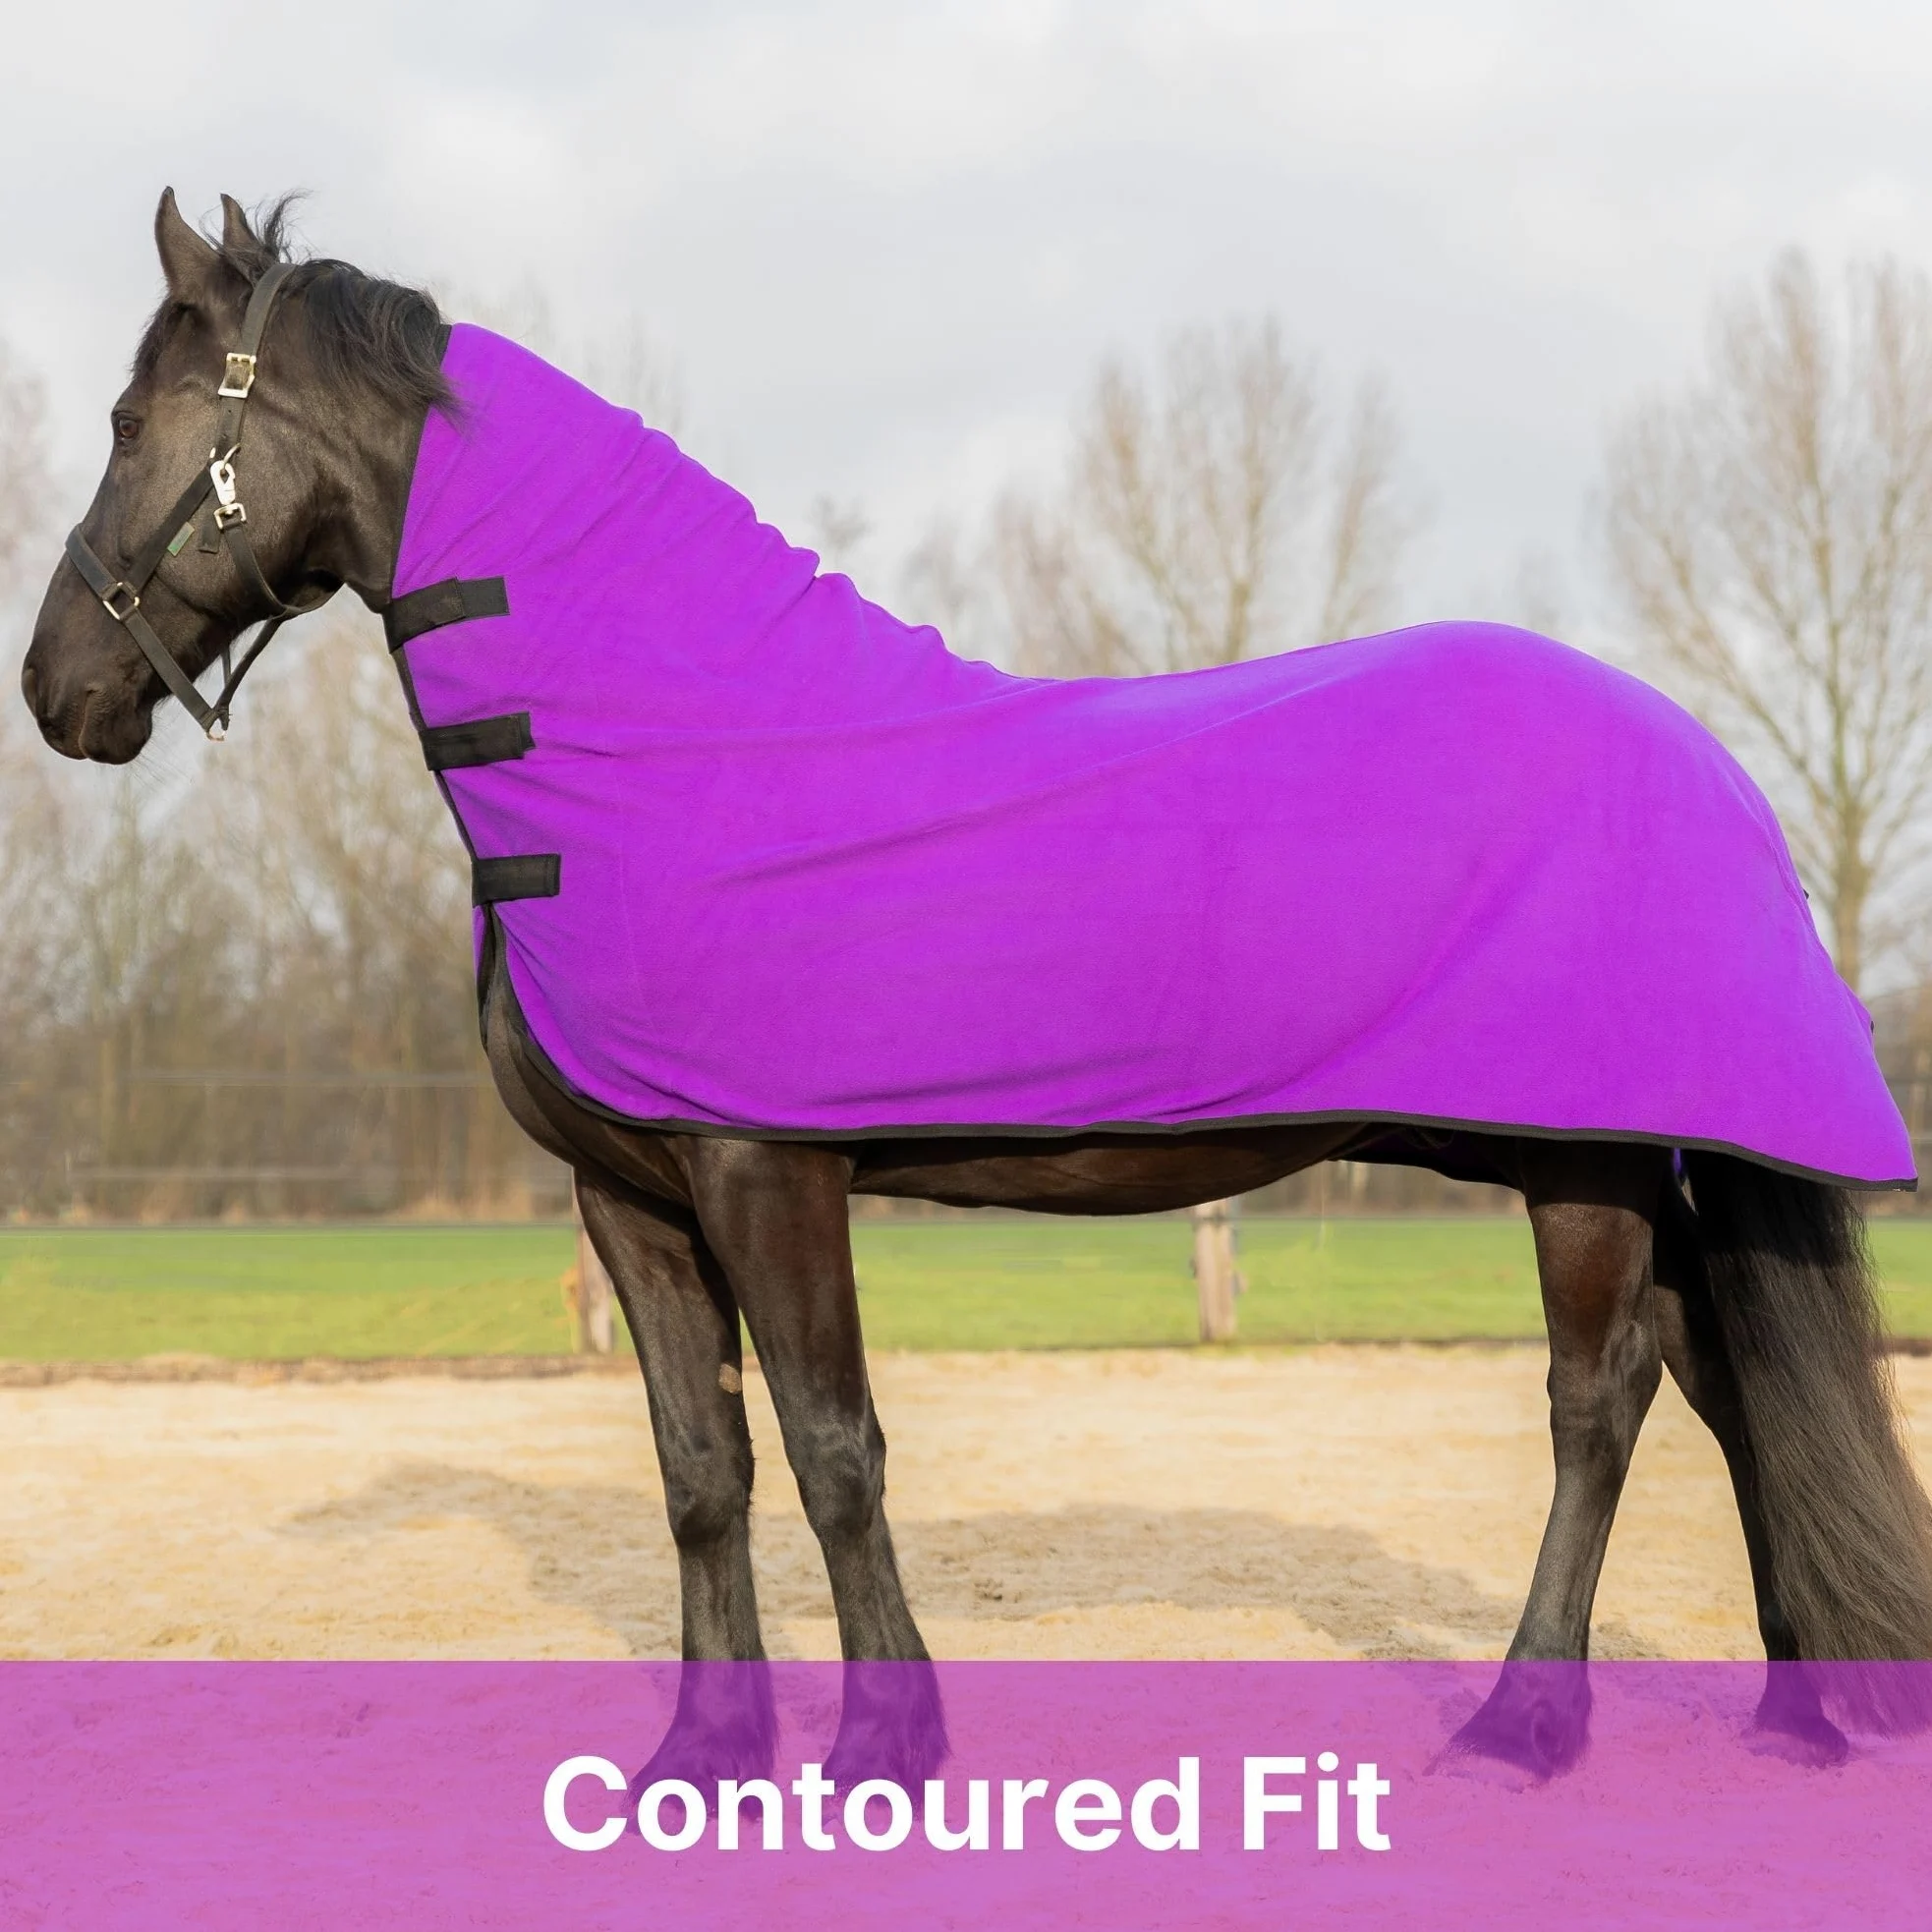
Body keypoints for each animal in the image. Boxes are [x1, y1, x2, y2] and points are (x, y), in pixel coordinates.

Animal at [22, 190, 1932, 1788]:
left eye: (129, 425)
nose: (55, 689)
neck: (663, 744)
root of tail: (1712, 764)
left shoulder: (765, 1171)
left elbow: (831, 1448)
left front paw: (883, 1744)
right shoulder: (627, 1196)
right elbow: (699, 1468)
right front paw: (703, 1756)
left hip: (1578, 1170)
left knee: (1597, 1406)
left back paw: (1522, 1724)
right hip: (1614, 1160)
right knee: (1720, 1380)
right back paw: (1792, 1713)